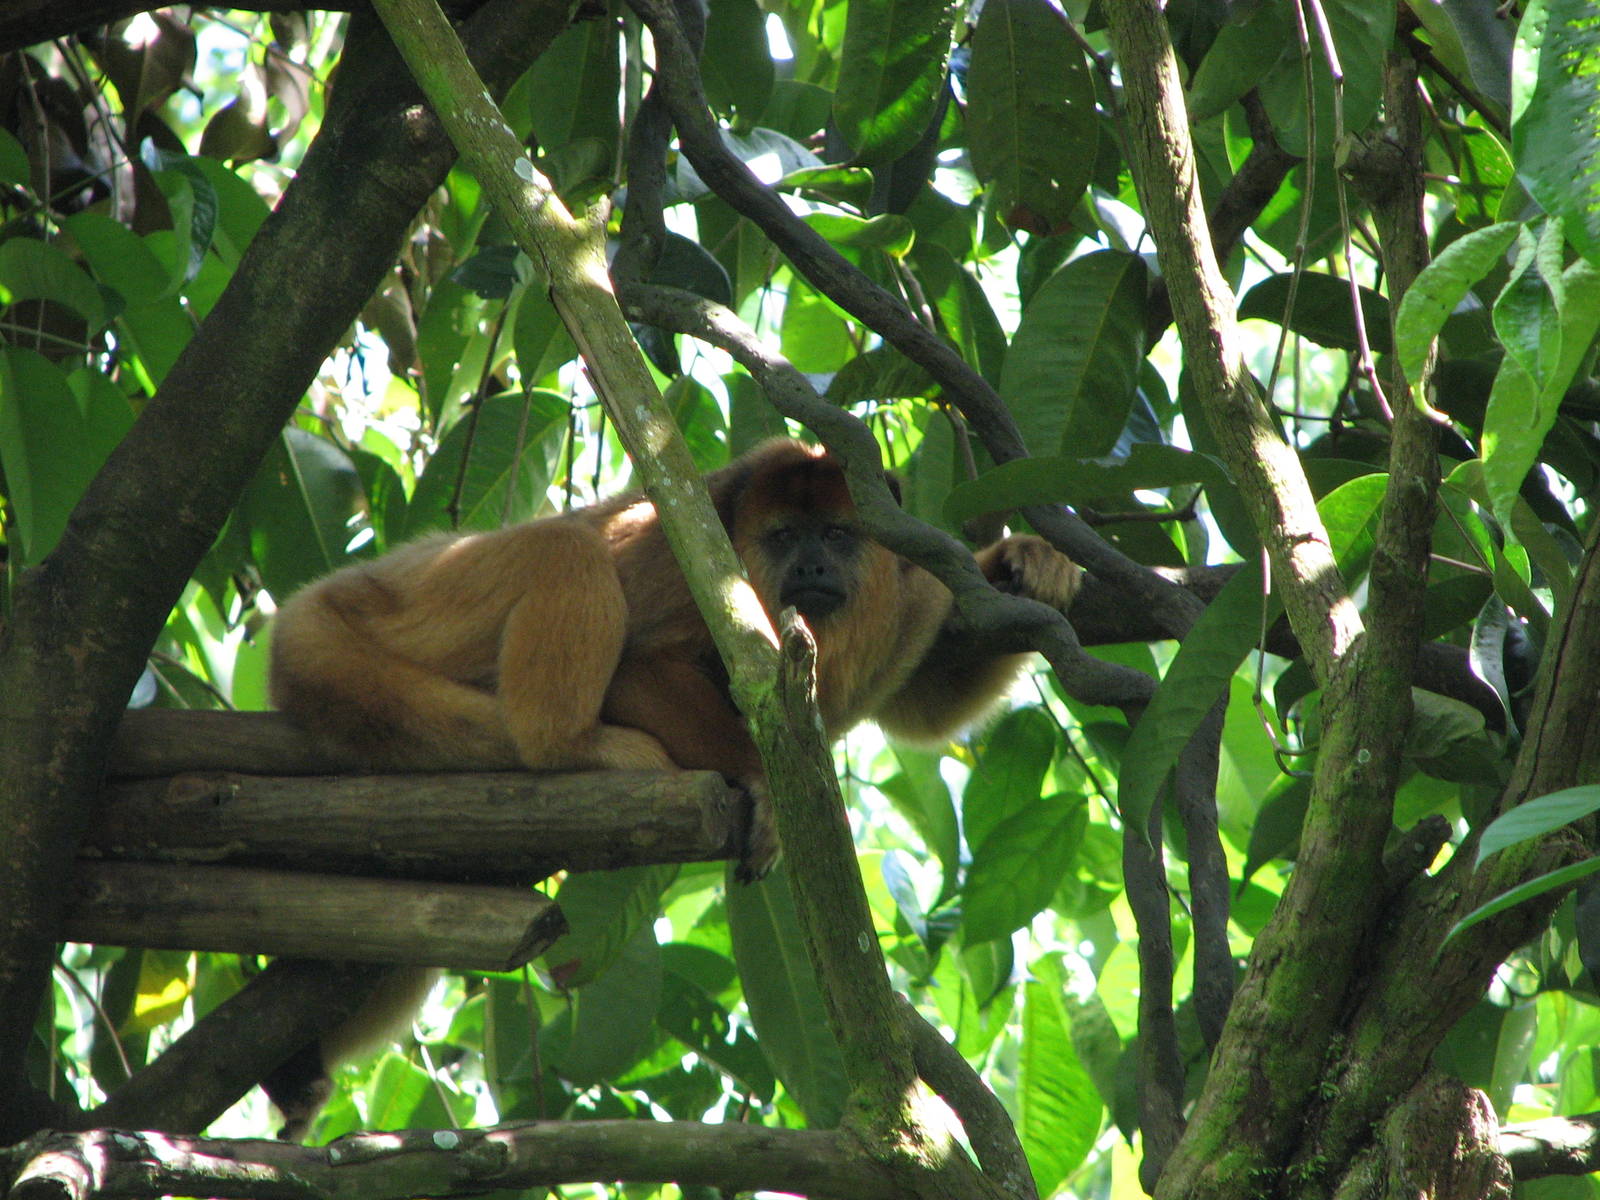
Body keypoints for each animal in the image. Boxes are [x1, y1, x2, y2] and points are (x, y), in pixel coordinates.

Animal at [261, 437, 1081, 1135]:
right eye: (784, 537)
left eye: (837, 535)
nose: (814, 571)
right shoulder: (689, 574)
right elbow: (639, 665)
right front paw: (768, 787)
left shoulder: (915, 591)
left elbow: (927, 703)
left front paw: (1029, 560)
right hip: (428, 602)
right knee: (565, 548)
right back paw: (571, 742)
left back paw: (297, 1071)